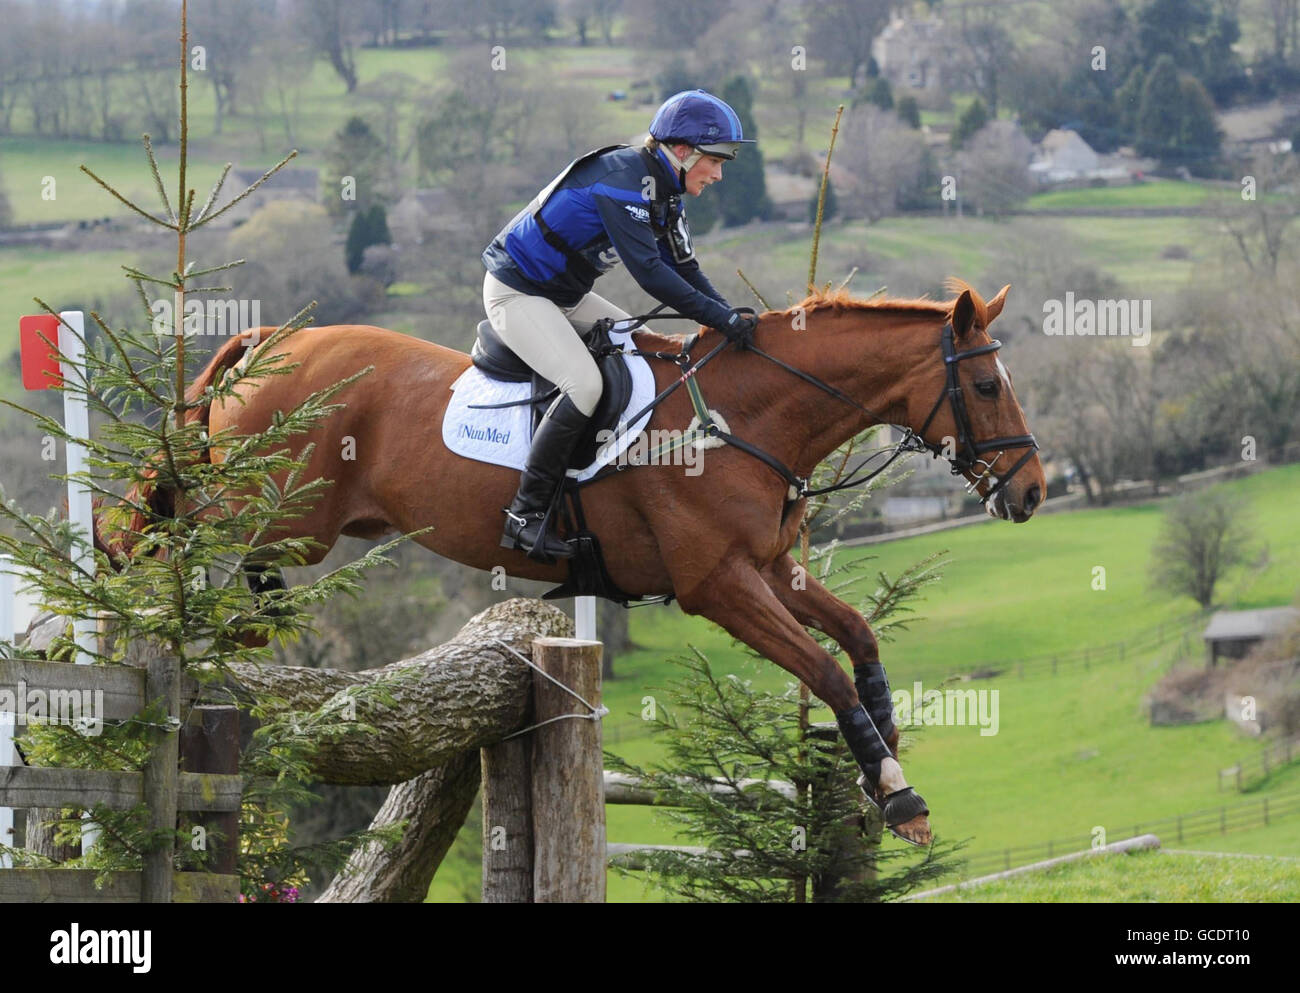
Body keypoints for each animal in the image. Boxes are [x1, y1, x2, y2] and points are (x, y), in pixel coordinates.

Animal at [94, 276, 1045, 847]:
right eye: (986, 386)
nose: (1033, 491)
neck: (745, 415)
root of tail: (265, 340)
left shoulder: (772, 571)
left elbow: (861, 642)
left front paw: (883, 766)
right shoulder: (718, 586)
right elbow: (826, 670)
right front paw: (898, 793)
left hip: (286, 522)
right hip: (274, 512)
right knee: (168, 530)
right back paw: (133, 611)